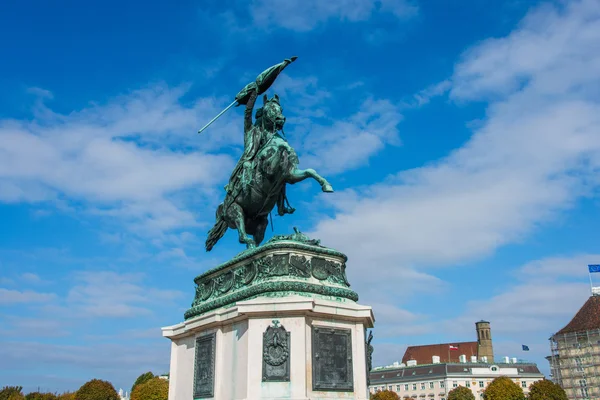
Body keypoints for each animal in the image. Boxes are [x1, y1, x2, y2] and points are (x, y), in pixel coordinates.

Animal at [204, 84, 330, 250]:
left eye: (280, 108)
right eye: (269, 109)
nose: (280, 119)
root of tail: (222, 211)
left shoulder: (290, 174)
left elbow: (310, 171)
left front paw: (326, 185)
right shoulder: (269, 170)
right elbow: (277, 151)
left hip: (261, 223)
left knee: (256, 241)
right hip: (236, 211)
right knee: (242, 236)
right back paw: (250, 243)